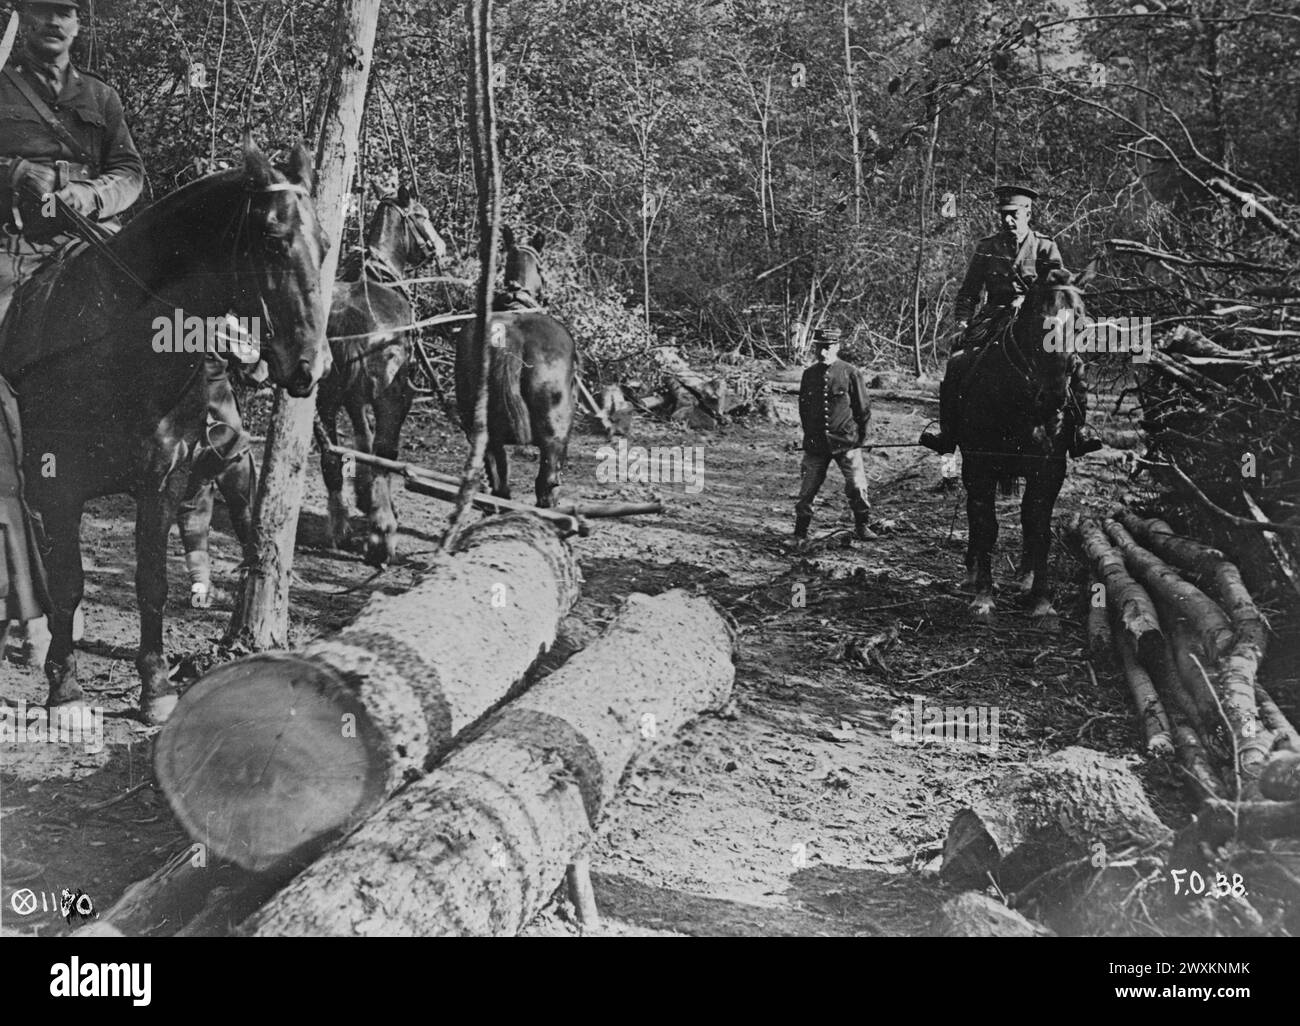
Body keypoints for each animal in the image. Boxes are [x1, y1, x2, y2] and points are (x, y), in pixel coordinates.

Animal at [6, 139, 330, 723]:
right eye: (272, 241)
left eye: (326, 245)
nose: (310, 367)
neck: (113, 349)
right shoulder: (57, 485)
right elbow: (67, 584)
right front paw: (65, 690)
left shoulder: (163, 480)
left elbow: (151, 584)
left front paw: (155, 686)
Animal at [319, 185, 447, 569]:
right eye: (422, 215)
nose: (440, 246)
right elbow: (378, 449)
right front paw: (375, 506)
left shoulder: (354, 398)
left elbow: (361, 442)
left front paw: (363, 496)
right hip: (392, 397)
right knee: (384, 452)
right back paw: (382, 534)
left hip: (324, 397)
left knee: (331, 457)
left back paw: (340, 525)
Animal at [956, 267, 1086, 621]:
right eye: (1038, 319)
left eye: (1081, 322)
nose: (1054, 396)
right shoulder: (980, 464)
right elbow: (986, 524)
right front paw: (983, 596)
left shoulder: (1051, 470)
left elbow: (1039, 526)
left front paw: (1040, 600)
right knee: (975, 512)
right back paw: (973, 573)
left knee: (1029, 517)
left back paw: (1025, 578)